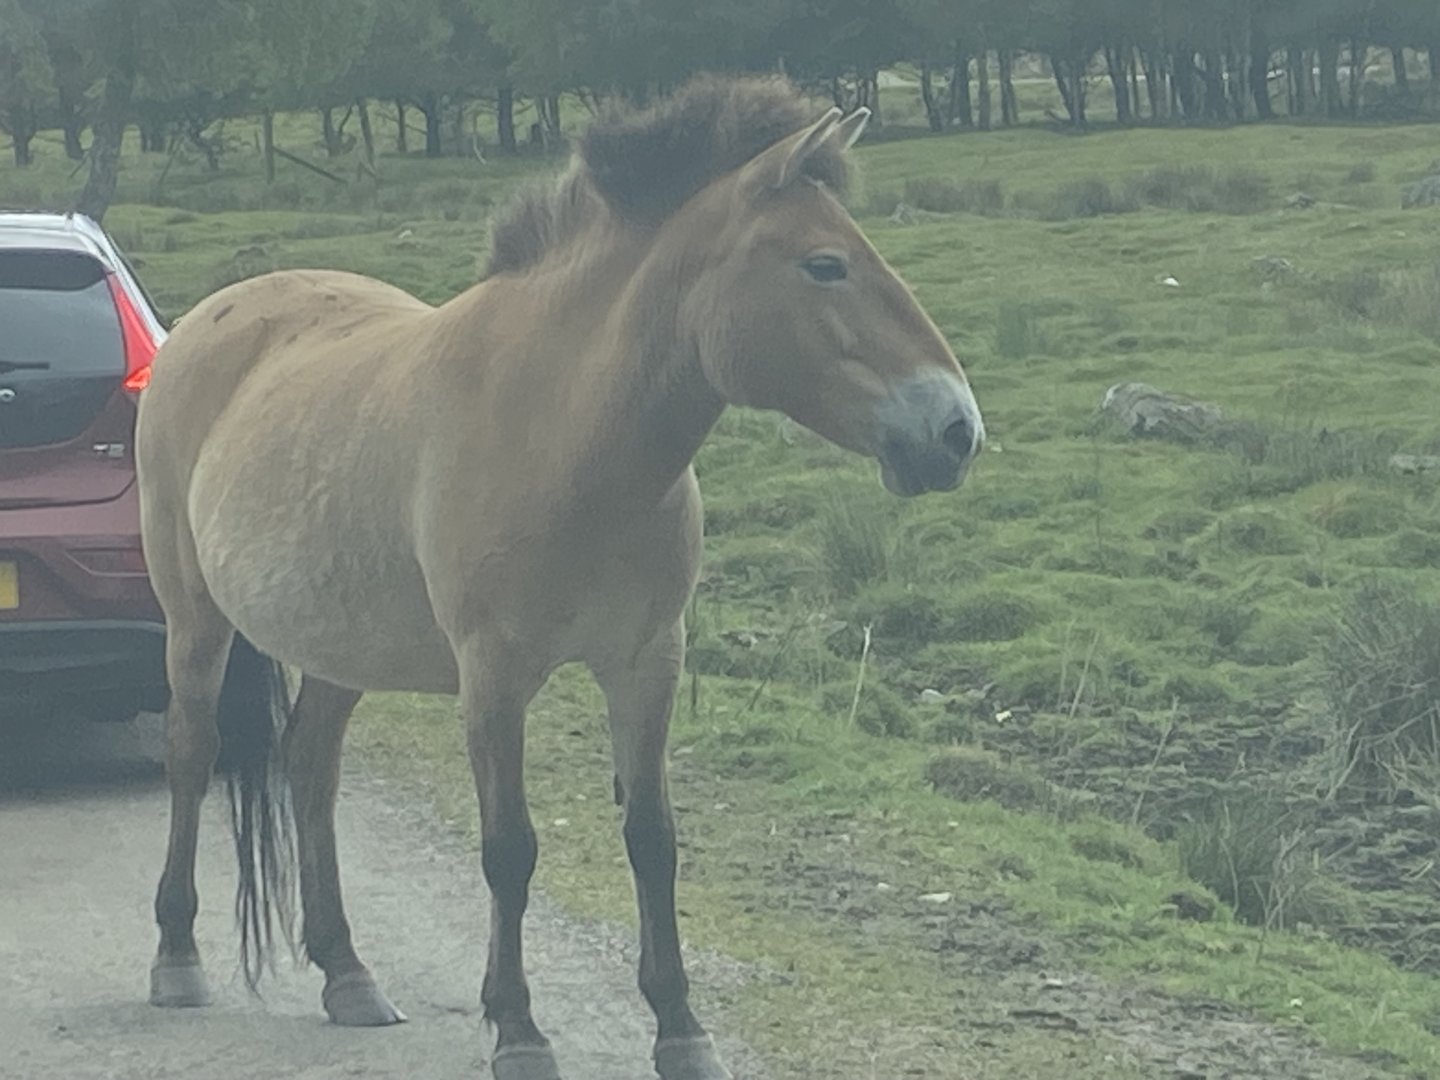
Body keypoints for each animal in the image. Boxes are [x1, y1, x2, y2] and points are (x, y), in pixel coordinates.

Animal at [135, 74, 984, 1080]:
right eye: (825, 266)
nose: (956, 430)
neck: (563, 430)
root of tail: (209, 320)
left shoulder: (648, 662)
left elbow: (653, 839)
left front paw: (681, 1029)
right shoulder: (494, 678)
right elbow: (510, 849)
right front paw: (518, 1028)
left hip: (343, 646)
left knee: (310, 767)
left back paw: (346, 971)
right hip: (195, 620)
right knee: (192, 754)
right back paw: (177, 956)